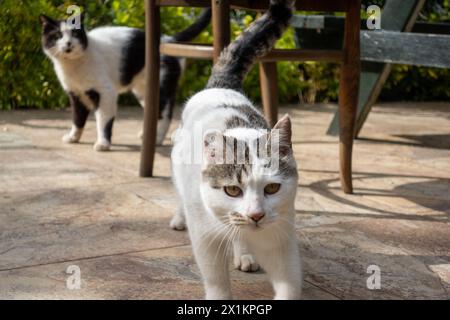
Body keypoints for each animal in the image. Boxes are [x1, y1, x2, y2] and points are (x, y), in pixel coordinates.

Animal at [39, 9, 212, 150]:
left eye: (75, 34)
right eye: (58, 36)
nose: (68, 43)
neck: (73, 66)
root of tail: (168, 39)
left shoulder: (106, 92)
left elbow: (103, 120)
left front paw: (103, 143)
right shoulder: (76, 94)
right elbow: (77, 118)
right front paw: (73, 137)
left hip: (162, 86)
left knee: (166, 114)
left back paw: (157, 139)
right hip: (143, 92)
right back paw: (146, 134)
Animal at [171, 0, 300, 300]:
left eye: (272, 188)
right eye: (232, 190)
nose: (256, 215)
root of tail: (221, 86)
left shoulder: (279, 233)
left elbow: (288, 281)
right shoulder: (206, 236)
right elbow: (216, 277)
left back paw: (244, 255)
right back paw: (179, 218)